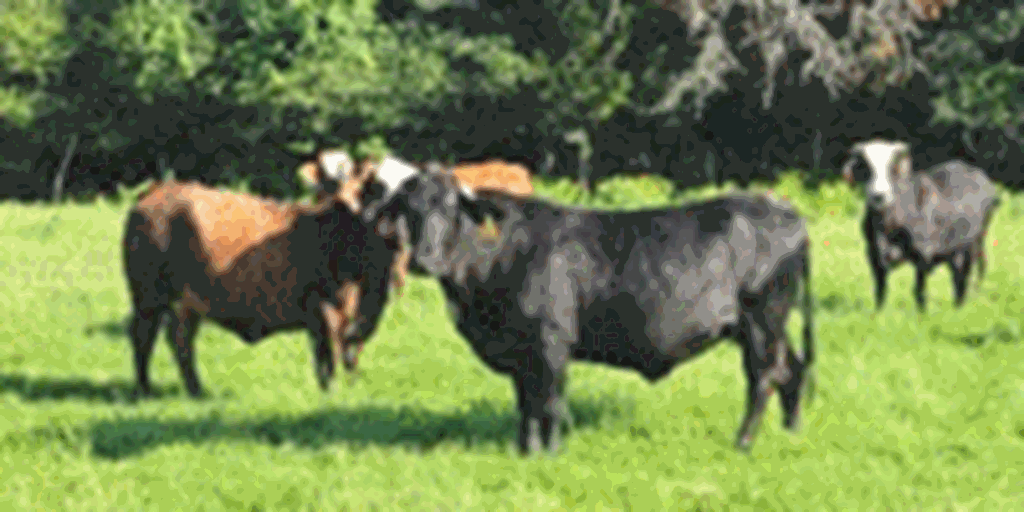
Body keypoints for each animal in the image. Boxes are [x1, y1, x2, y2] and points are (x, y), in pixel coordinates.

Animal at [122, 177, 401, 398]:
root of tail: (158, 190)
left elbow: (342, 350)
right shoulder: (326, 309)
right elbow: (331, 350)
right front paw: (333, 390)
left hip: (178, 303)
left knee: (171, 338)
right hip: (152, 297)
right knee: (150, 337)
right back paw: (156, 389)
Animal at [361, 165, 816, 454]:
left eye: (451, 209)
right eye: (409, 211)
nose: (423, 259)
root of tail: (784, 209)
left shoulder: (550, 341)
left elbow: (549, 401)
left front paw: (551, 452)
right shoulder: (519, 350)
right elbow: (525, 404)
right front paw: (525, 450)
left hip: (762, 321)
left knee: (764, 377)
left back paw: (744, 441)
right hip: (766, 326)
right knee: (792, 369)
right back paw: (791, 431)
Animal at [841, 139, 1001, 312]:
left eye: (892, 169)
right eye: (866, 167)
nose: (879, 196)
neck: (888, 226)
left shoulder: (923, 256)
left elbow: (919, 291)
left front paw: (921, 314)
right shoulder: (874, 257)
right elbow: (880, 291)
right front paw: (878, 314)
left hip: (972, 246)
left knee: (967, 275)